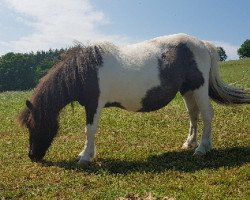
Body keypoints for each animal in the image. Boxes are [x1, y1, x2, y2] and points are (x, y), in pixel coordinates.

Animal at [18, 33, 250, 165]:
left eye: (33, 125)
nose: (32, 156)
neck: (85, 71)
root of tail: (203, 43)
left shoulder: (94, 104)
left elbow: (89, 129)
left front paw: (85, 157)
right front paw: (84, 153)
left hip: (199, 88)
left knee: (207, 115)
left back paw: (202, 148)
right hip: (187, 91)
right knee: (193, 115)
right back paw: (189, 143)